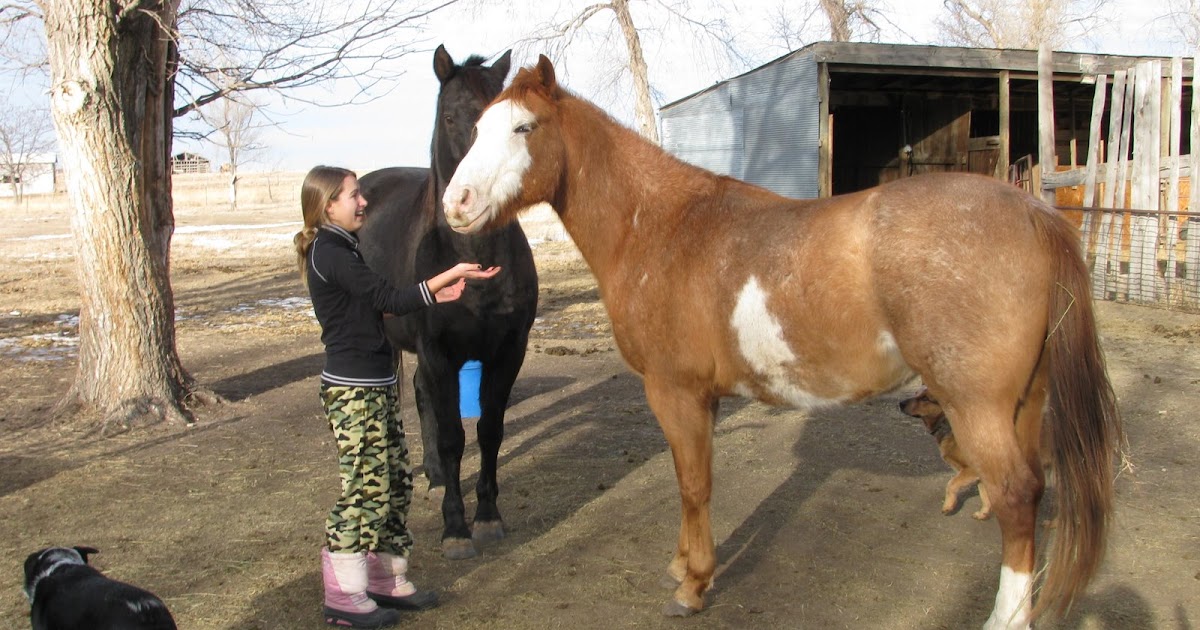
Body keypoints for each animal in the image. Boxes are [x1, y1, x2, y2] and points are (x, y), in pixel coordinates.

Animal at [357, 45, 539, 560]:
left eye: (517, 124)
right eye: (453, 116)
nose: (467, 201)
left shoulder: (507, 352)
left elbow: (489, 431)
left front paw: (488, 517)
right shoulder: (441, 354)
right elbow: (455, 436)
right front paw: (456, 528)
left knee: (421, 395)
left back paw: (435, 476)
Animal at [440, 56, 1124, 629]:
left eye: (524, 127)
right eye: (474, 128)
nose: (456, 203)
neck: (662, 228)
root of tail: (1034, 213)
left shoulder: (675, 392)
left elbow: (693, 484)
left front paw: (693, 586)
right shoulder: (703, 398)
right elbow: (692, 481)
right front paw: (683, 565)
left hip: (977, 405)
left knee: (1013, 495)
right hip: (1025, 403)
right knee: (1029, 491)